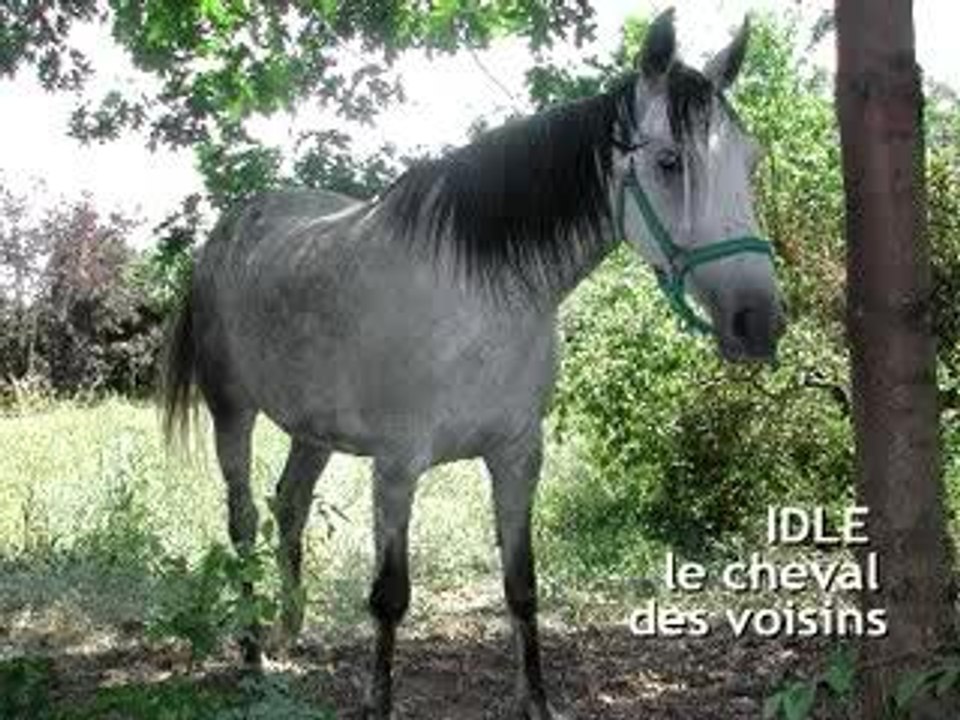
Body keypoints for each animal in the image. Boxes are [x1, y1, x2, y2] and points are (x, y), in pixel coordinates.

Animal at [161, 9, 784, 719]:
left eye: (749, 161)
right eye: (670, 162)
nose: (759, 322)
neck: (480, 296)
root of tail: (226, 232)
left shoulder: (516, 456)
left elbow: (522, 585)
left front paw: (536, 701)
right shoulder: (396, 469)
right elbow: (389, 597)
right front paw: (379, 702)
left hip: (311, 431)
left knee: (288, 504)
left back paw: (293, 636)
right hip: (232, 413)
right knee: (241, 521)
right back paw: (253, 655)